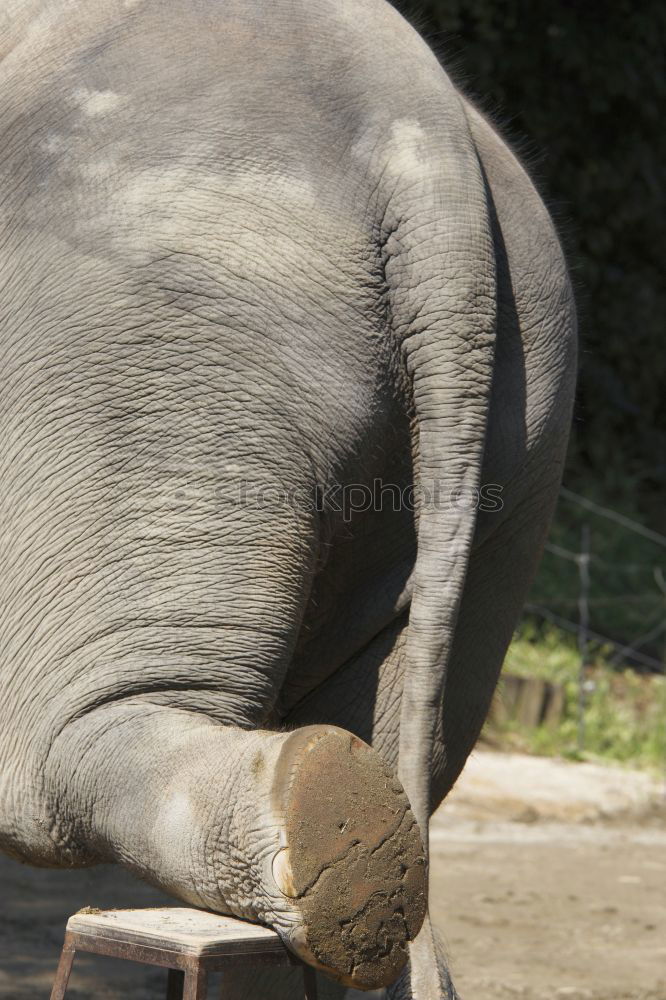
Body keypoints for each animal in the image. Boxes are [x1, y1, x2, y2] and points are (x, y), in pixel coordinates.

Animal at [0, 1, 576, 1000]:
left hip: (167, 350)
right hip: (522, 428)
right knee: (406, 737)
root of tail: (432, 160)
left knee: (54, 745)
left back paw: (321, 826)